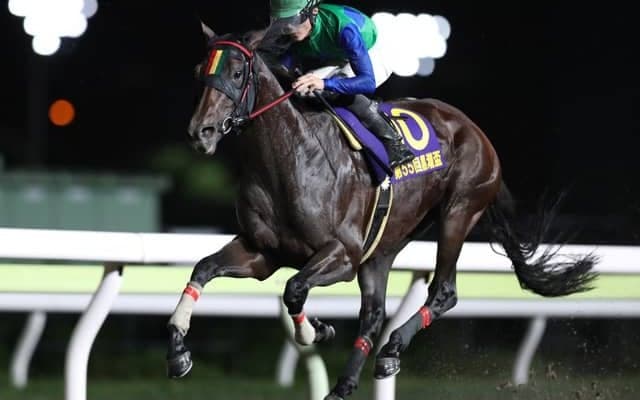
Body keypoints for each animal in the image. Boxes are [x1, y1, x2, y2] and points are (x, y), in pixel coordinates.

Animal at [165, 25, 598, 400]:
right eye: (199, 71)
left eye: (237, 73)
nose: (200, 132)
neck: (288, 160)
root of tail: (476, 131)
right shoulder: (263, 253)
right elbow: (203, 268)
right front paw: (178, 351)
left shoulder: (343, 254)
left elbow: (294, 289)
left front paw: (314, 332)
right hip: (386, 243)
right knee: (374, 314)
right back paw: (343, 386)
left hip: (458, 212)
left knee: (443, 292)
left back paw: (392, 351)